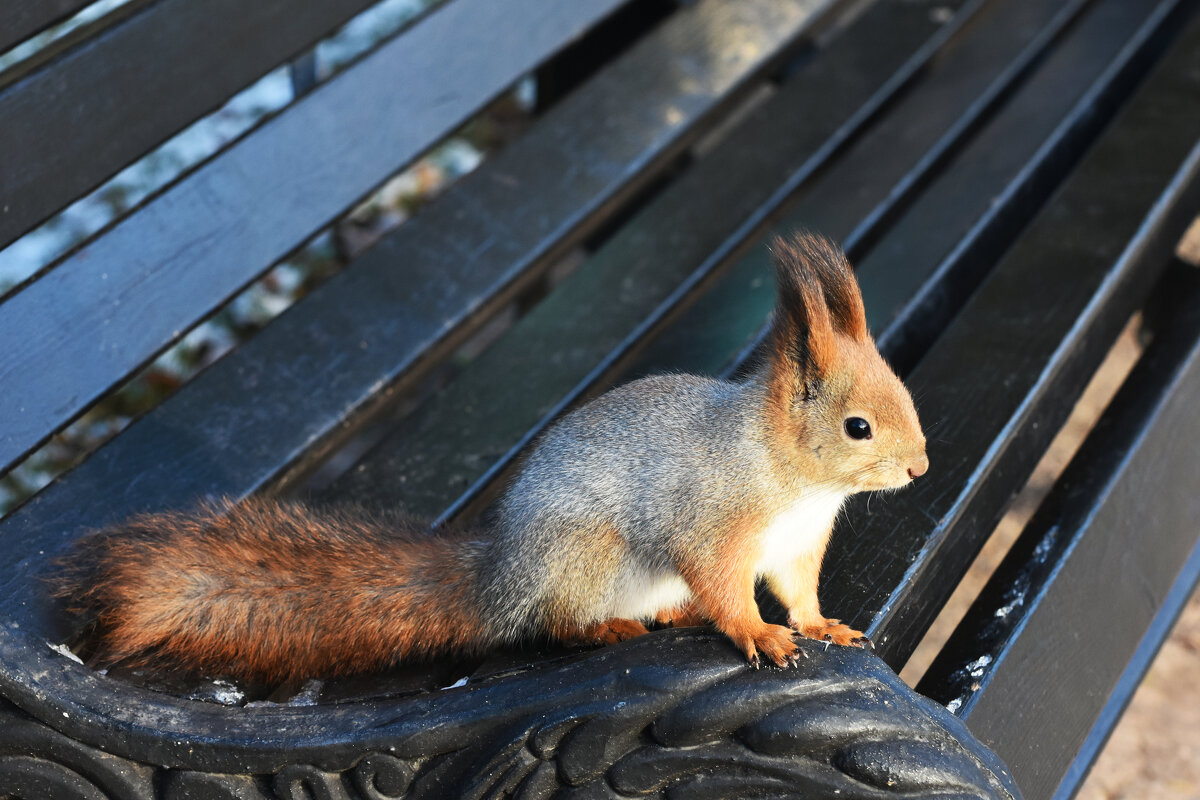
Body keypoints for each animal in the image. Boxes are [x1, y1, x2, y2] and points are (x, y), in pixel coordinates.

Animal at [49, 230, 926, 681]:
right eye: (858, 428)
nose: (921, 469)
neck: (792, 477)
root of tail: (499, 578)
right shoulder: (713, 523)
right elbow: (727, 587)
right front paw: (759, 635)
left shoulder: (797, 546)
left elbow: (799, 592)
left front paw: (820, 625)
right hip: (585, 556)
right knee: (554, 625)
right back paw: (606, 629)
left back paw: (667, 613)